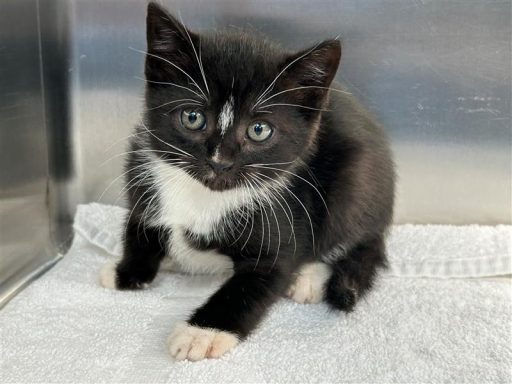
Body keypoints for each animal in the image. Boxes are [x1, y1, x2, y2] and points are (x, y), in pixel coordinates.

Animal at [100, 3, 396, 362]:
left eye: (259, 130)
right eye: (192, 117)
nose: (220, 162)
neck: (205, 198)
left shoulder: (281, 221)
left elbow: (249, 287)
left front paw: (202, 332)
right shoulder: (142, 174)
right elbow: (138, 229)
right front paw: (125, 270)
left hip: (358, 180)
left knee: (354, 239)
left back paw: (309, 278)